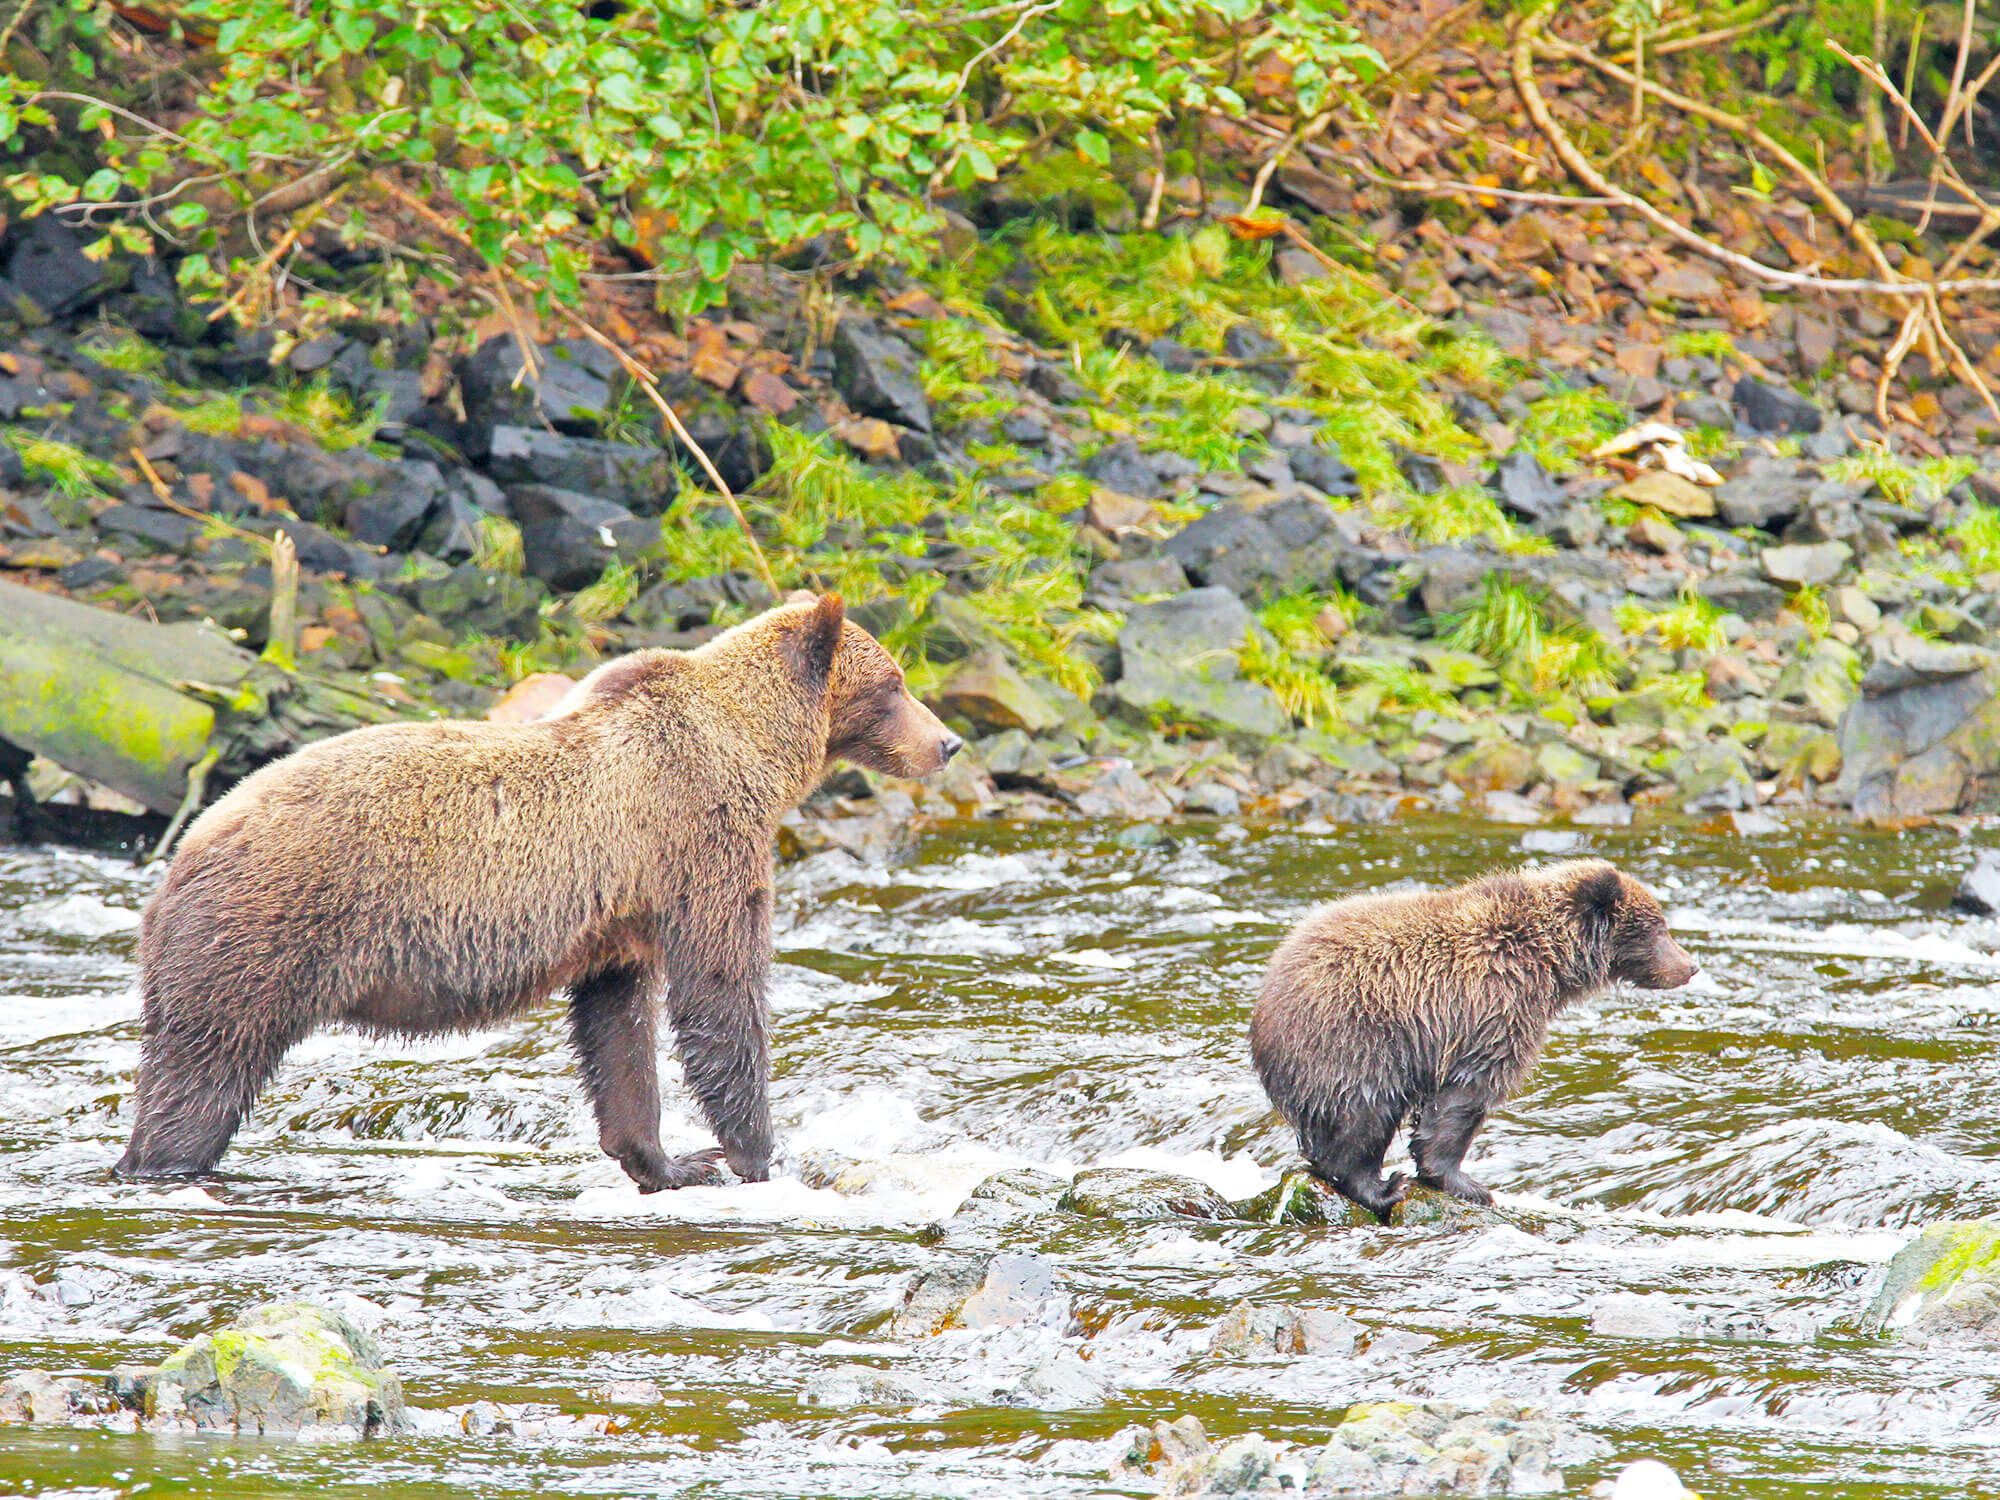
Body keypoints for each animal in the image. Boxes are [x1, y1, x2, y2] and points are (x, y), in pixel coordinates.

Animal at [115, 593, 961, 1190]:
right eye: (895, 684)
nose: (948, 742)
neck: (754, 752)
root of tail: (183, 854)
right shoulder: (699, 839)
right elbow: (721, 990)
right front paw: (755, 1153)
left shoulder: (622, 913)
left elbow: (618, 1028)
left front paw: (666, 1160)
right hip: (264, 932)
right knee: (204, 1069)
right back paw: (165, 1161)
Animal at [1250, 859, 1696, 1221]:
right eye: (1658, 927)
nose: (1690, 966)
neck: (1550, 963)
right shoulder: (1493, 1007)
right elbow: (1466, 1095)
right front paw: (1468, 1184)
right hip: (1354, 1039)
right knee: (1363, 1113)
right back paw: (1381, 1186)